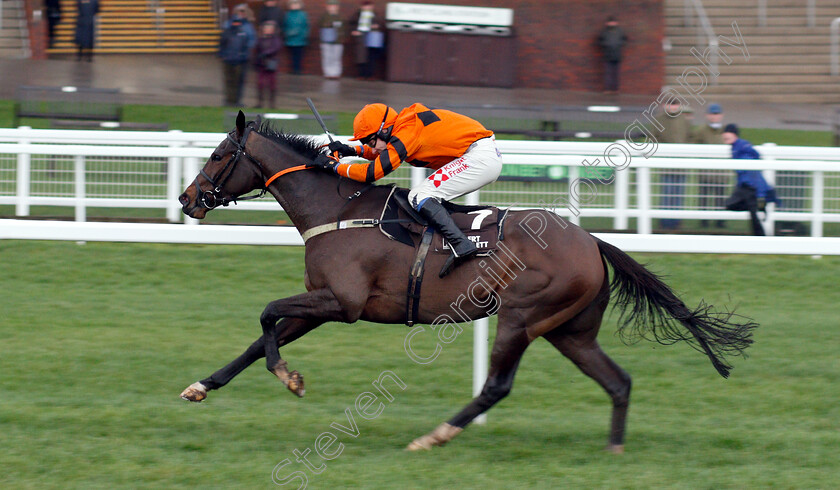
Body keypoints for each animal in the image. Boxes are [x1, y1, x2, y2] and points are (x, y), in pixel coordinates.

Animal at [176, 111, 756, 452]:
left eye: (219, 155)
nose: (186, 199)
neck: (337, 209)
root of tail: (592, 242)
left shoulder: (342, 301)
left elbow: (267, 312)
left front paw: (288, 377)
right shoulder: (323, 303)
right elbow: (259, 337)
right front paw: (201, 386)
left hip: (522, 316)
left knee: (498, 384)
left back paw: (434, 436)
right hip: (569, 330)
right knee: (618, 381)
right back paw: (614, 449)